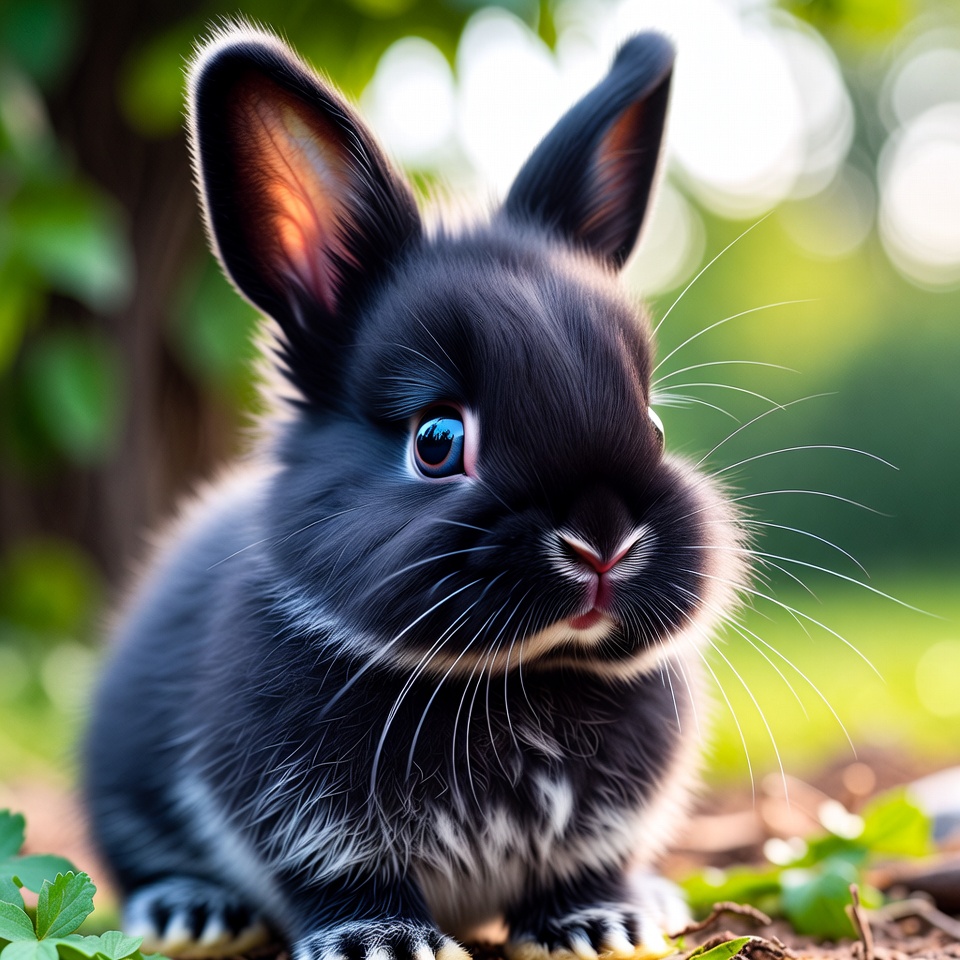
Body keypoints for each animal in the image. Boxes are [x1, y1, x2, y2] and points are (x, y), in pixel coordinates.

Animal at [84, 20, 747, 960]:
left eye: (651, 423)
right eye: (437, 442)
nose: (603, 541)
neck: (515, 680)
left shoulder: (605, 827)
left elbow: (585, 868)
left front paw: (598, 926)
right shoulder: (303, 821)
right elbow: (343, 878)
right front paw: (383, 942)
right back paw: (193, 912)